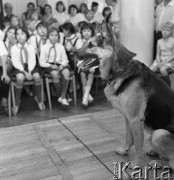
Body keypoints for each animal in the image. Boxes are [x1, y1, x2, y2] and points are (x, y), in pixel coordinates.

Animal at [75, 21, 174, 169]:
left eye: (91, 45)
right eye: (85, 42)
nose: (71, 53)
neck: (120, 70)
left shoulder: (135, 119)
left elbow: (138, 146)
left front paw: (137, 163)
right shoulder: (128, 117)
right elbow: (129, 138)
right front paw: (125, 150)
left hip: (159, 133)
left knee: (172, 162)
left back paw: (158, 162)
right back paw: (154, 152)